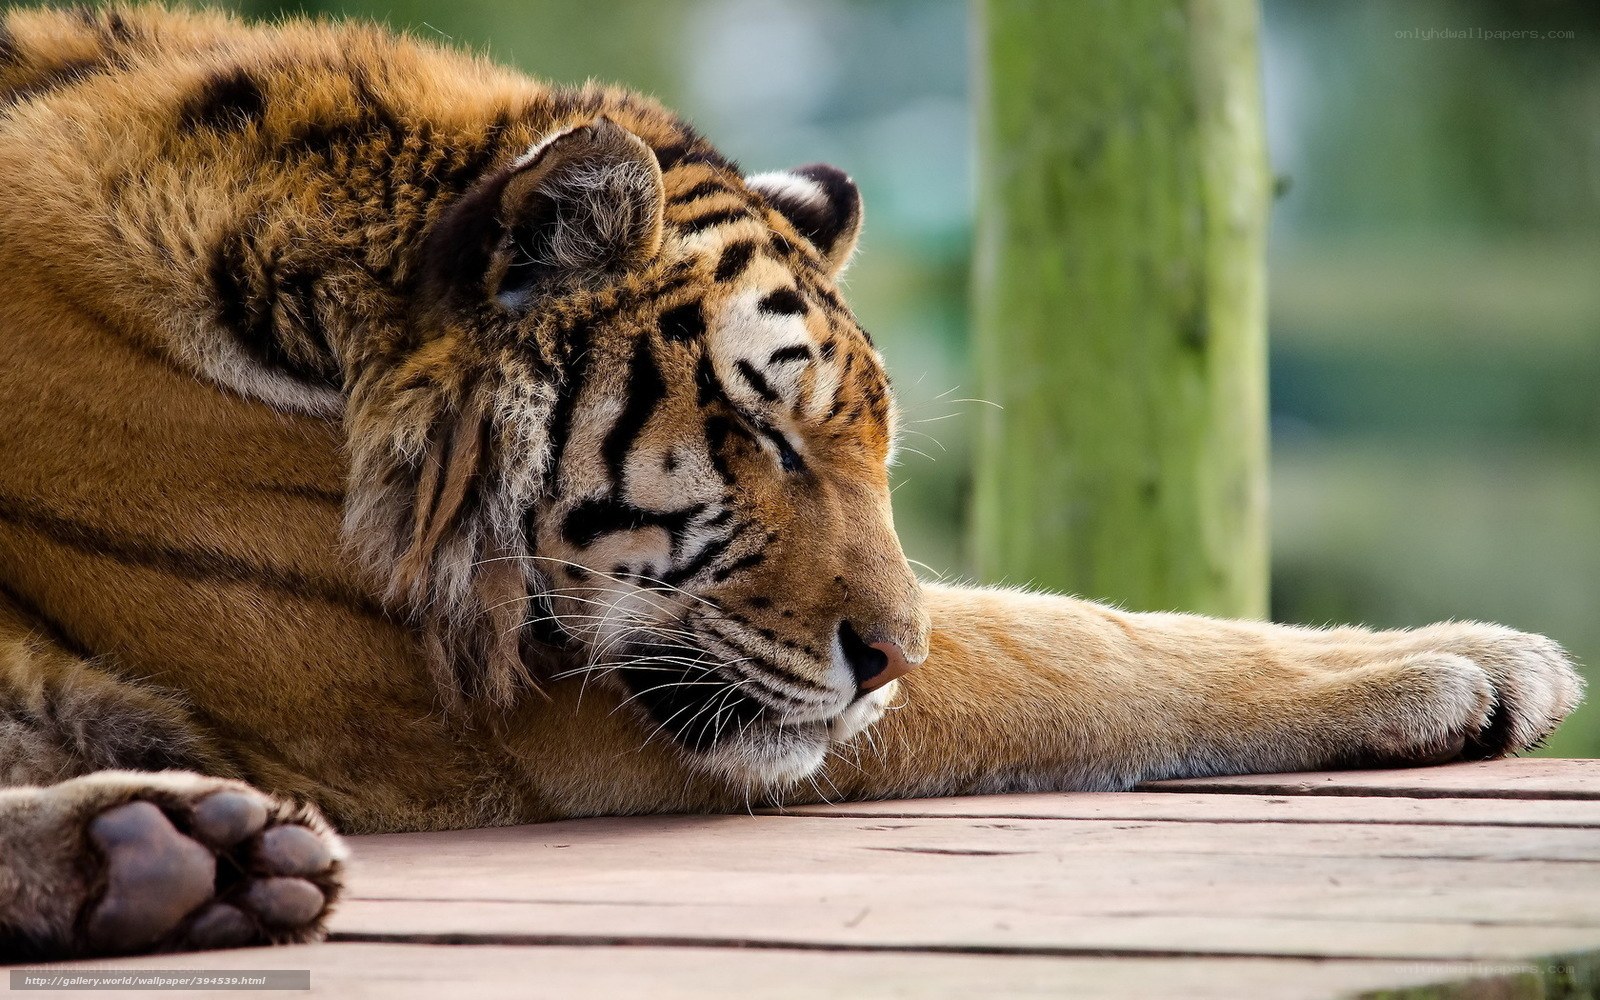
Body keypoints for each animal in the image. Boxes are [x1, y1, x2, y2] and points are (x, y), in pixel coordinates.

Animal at [0, 4, 1583, 962]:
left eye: (876, 452)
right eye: (761, 435)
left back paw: (171, 855)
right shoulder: (472, 702)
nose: (888, 658)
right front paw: (1469, 663)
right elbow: (1069, 646)